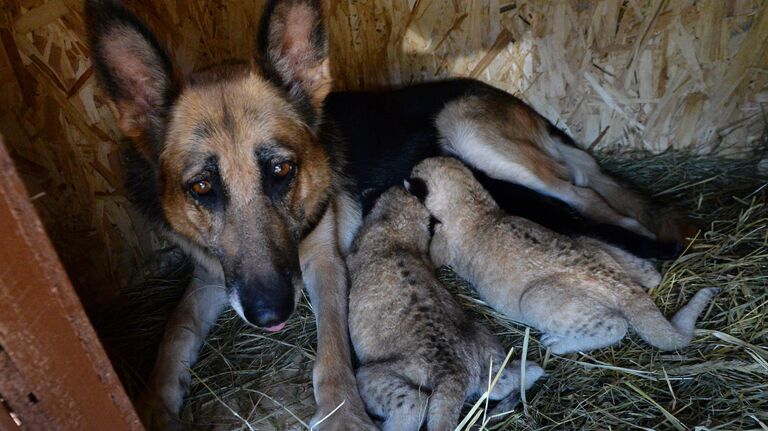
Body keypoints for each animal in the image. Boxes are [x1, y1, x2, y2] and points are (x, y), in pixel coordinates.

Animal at [85, 0, 688, 428]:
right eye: (202, 187)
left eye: (281, 170)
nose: (269, 311)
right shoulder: (216, 276)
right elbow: (175, 333)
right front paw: (151, 401)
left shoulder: (325, 265)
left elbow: (331, 352)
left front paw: (343, 414)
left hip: (472, 133)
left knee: (594, 199)